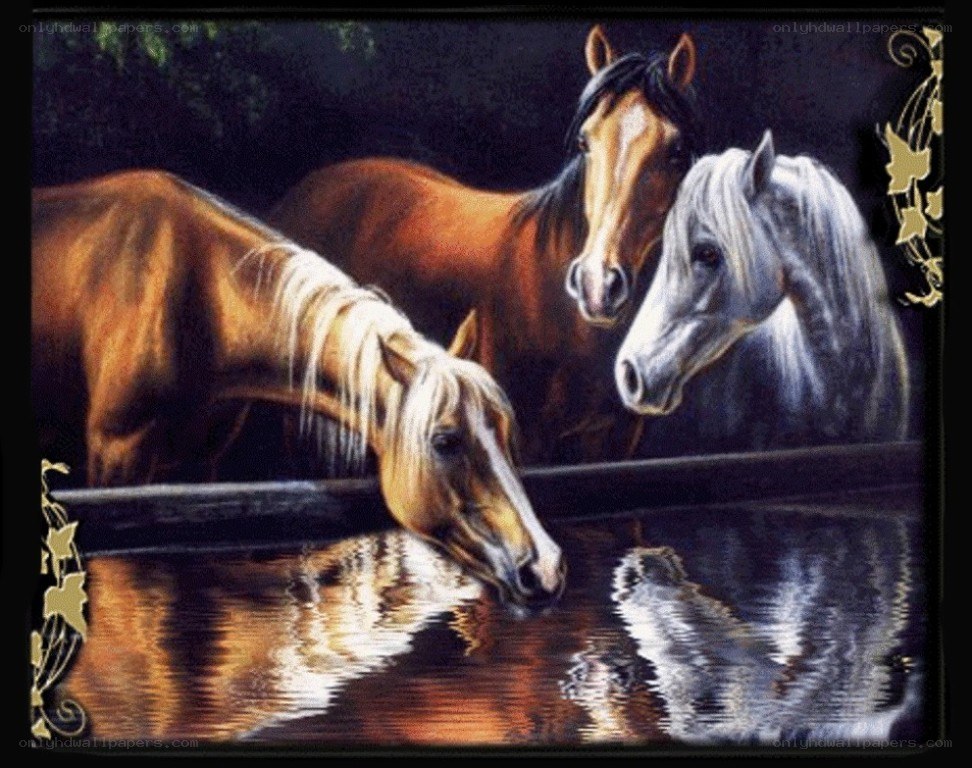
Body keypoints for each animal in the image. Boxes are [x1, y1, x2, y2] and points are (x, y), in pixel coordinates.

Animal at [31, 170, 565, 607]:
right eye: (445, 441)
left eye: (505, 435)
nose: (545, 568)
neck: (189, 291)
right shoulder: (116, 455)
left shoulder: (198, 463)